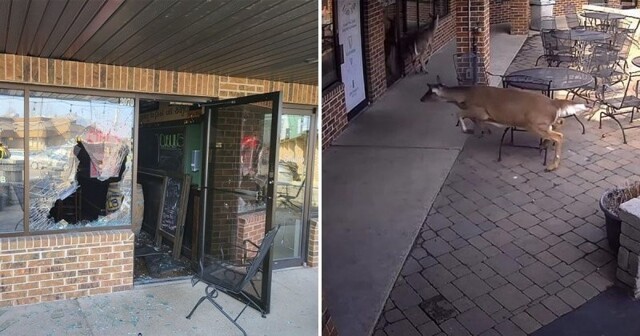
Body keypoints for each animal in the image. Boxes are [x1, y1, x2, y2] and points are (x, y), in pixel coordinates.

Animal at [420, 79, 592, 172]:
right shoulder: (480, 114)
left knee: (559, 136)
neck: (464, 97)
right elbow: (474, 120)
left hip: (534, 123)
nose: (421, 99)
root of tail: (553, 103)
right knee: (560, 123)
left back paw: (552, 165)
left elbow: (459, 114)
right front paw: (484, 131)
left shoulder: (480, 110)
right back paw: (544, 145)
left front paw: (467, 130)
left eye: (429, 92)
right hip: (544, 122)